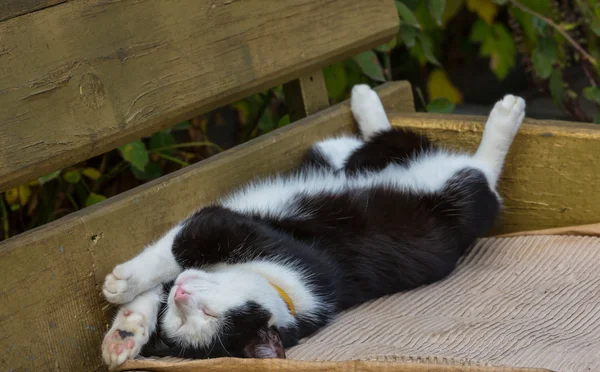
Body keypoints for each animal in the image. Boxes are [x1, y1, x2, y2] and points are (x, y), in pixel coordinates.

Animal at [99, 85, 524, 370]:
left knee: (476, 171)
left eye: (207, 315)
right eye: (179, 319)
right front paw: (125, 335)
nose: (183, 294)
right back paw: (361, 108)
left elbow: (183, 243)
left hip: (456, 189)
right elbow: (157, 289)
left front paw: (123, 283)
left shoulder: (236, 228)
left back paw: (506, 113)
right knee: (364, 148)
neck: (283, 288)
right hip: (359, 160)